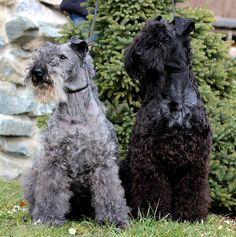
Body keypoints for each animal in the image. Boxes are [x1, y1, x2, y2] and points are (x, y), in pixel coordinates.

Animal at [22, 37, 129, 226]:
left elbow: (109, 191)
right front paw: (48, 217)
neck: (76, 113)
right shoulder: (54, 160)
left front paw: (114, 219)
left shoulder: (103, 162)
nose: (38, 72)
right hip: (34, 174)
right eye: (40, 54)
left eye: (62, 57)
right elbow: (50, 191)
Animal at [120, 16, 212, 220]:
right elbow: (152, 186)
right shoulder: (147, 150)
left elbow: (192, 188)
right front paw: (152, 212)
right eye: (144, 31)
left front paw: (190, 214)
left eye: (165, 36)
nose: (137, 53)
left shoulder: (196, 155)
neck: (177, 97)